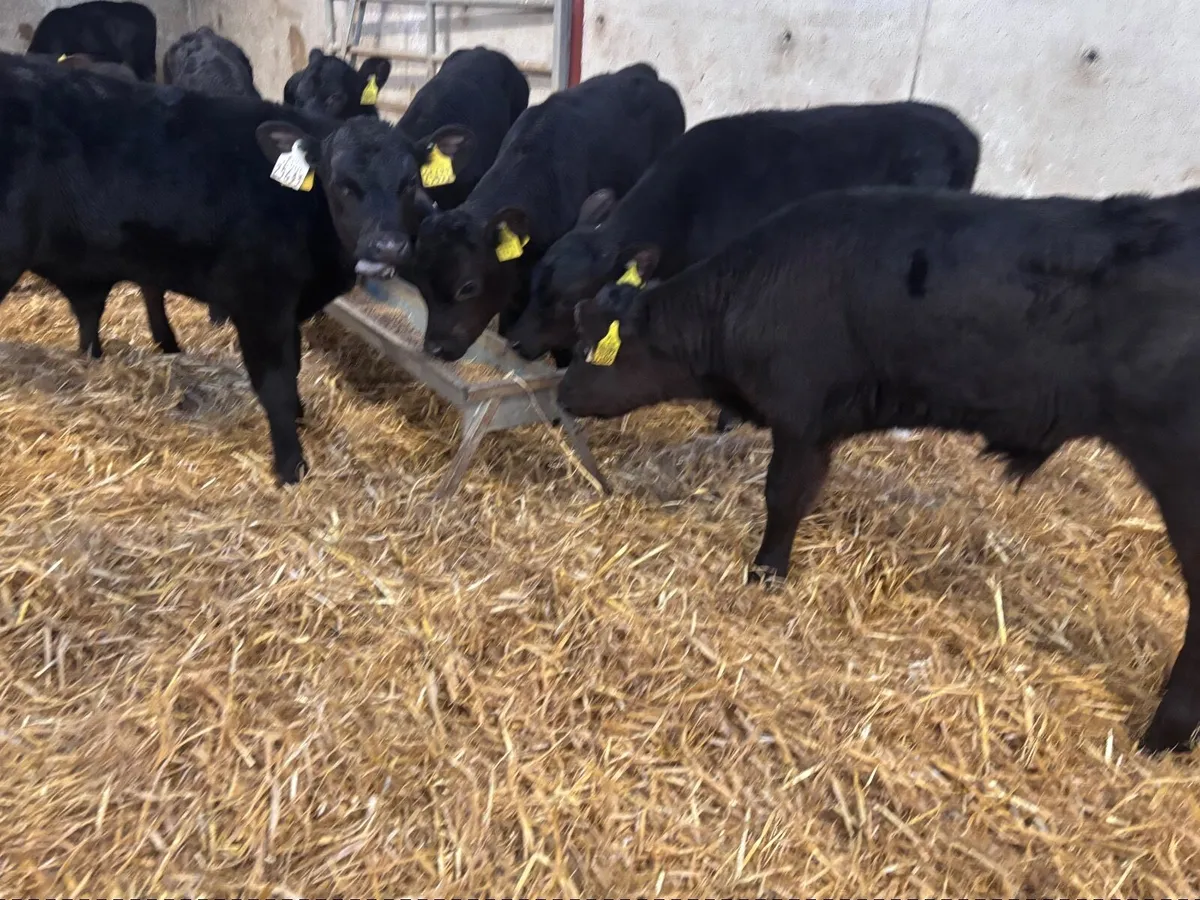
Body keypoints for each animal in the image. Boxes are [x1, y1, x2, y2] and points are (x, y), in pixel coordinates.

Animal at [557, 184, 1200, 755]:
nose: (561, 393)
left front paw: (766, 572)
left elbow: (784, 495)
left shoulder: (802, 415)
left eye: (591, 345)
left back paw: (1164, 736)